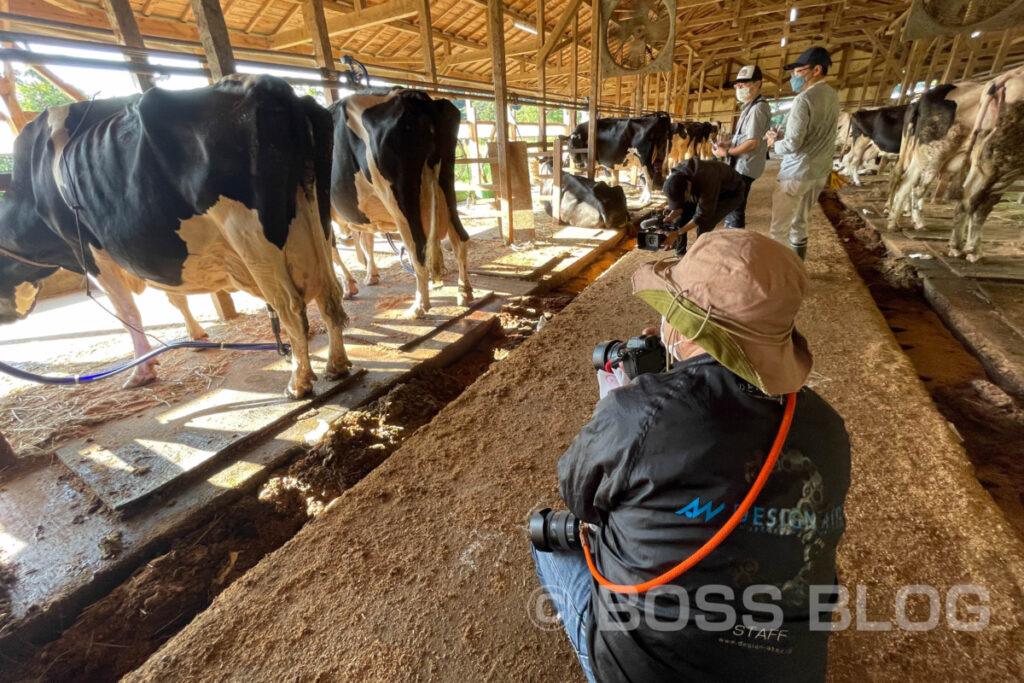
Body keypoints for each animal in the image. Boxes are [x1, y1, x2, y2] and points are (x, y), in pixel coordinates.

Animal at [0, 74, 350, 397]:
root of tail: (273, 87)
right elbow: (174, 295)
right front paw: (196, 336)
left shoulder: (87, 252)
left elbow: (127, 312)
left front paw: (142, 371)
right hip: (316, 215)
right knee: (329, 294)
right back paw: (336, 366)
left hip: (250, 233)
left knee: (290, 305)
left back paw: (298, 382)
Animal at [327, 87, 471, 319]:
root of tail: (415, 97)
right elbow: (367, 242)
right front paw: (371, 276)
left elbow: (333, 252)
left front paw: (349, 286)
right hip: (446, 185)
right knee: (460, 238)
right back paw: (464, 292)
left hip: (398, 198)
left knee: (418, 249)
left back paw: (418, 307)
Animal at [884, 80, 987, 232]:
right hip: (935, 152)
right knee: (917, 186)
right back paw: (917, 221)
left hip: (919, 154)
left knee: (904, 180)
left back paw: (894, 221)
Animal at [946, 62, 1024, 260]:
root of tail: (1013, 73)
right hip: (1004, 157)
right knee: (975, 199)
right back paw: (969, 249)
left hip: (985, 150)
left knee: (976, 199)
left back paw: (963, 247)